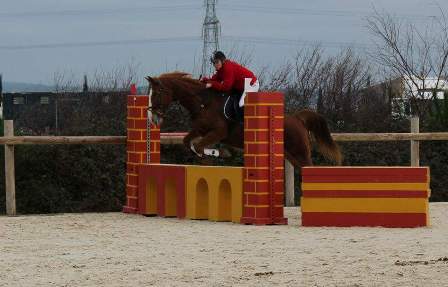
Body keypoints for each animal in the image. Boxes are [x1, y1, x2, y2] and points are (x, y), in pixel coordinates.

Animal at [145, 71, 342, 169]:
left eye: (157, 93)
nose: (153, 118)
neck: (202, 102)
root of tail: (297, 119)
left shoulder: (218, 132)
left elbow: (200, 146)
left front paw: (219, 153)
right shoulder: (200, 130)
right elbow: (188, 143)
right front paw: (211, 156)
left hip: (299, 151)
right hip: (290, 154)